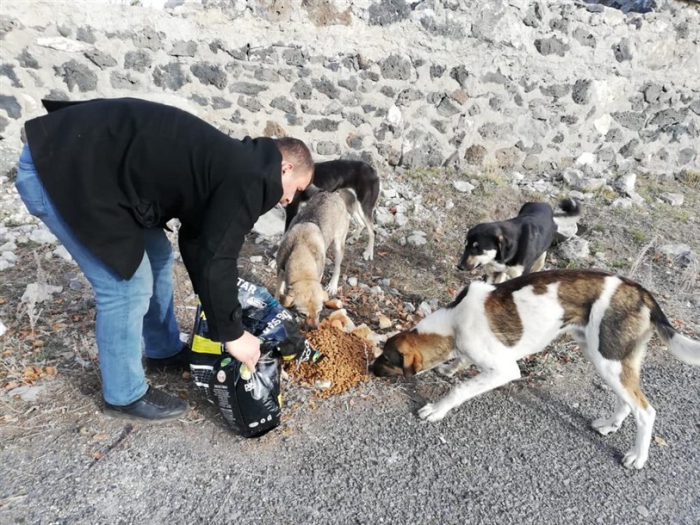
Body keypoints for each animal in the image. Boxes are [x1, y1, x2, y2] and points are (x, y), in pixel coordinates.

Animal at [275, 191, 350, 328]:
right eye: (303, 314)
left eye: (320, 312)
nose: (314, 329)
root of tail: (333, 194)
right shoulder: (280, 270)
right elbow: (279, 290)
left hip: (338, 245)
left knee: (338, 267)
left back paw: (333, 285)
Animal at [372, 269, 700, 469]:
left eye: (386, 359)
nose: (370, 368)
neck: (453, 322)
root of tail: (642, 292)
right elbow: (460, 365)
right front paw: (451, 368)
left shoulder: (505, 370)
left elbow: (460, 389)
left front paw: (436, 410)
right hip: (605, 358)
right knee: (627, 400)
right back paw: (610, 425)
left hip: (608, 357)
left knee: (645, 411)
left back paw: (637, 457)